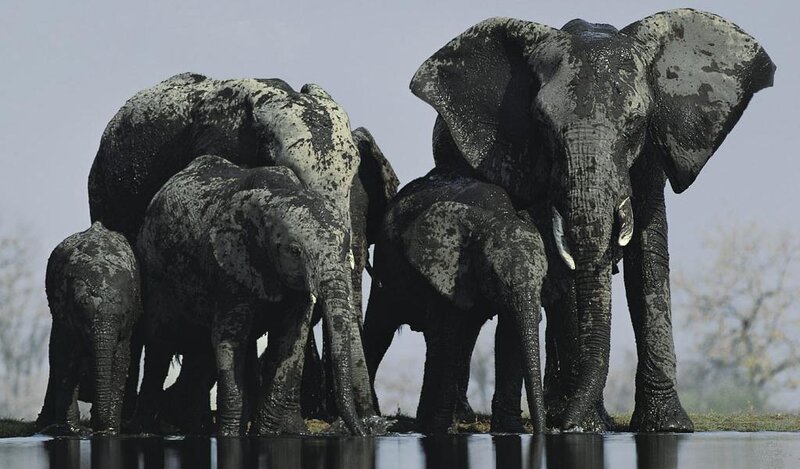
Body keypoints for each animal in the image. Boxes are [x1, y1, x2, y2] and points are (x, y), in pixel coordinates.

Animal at [36, 222, 141, 435]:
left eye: (123, 316)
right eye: (81, 317)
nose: (93, 430)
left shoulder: (128, 324)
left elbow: (121, 360)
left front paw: (109, 431)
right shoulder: (64, 314)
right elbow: (65, 357)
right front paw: (72, 431)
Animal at [134, 155, 375, 436]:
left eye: (345, 248)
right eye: (295, 251)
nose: (365, 432)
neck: (278, 196)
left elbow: (289, 340)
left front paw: (264, 434)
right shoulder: (230, 265)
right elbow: (229, 339)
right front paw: (229, 436)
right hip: (153, 269)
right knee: (160, 345)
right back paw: (145, 428)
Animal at [363, 167, 547, 433]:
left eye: (544, 278)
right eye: (493, 275)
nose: (541, 430)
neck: (495, 215)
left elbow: (509, 333)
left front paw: (511, 429)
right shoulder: (446, 267)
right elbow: (449, 334)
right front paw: (441, 429)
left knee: (463, 337)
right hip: (386, 264)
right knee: (380, 329)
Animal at [410, 9, 774, 431]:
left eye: (637, 124)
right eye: (543, 125)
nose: (566, 425)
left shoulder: (650, 154)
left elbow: (648, 258)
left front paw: (667, 426)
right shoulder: (533, 158)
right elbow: (563, 266)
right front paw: (586, 426)